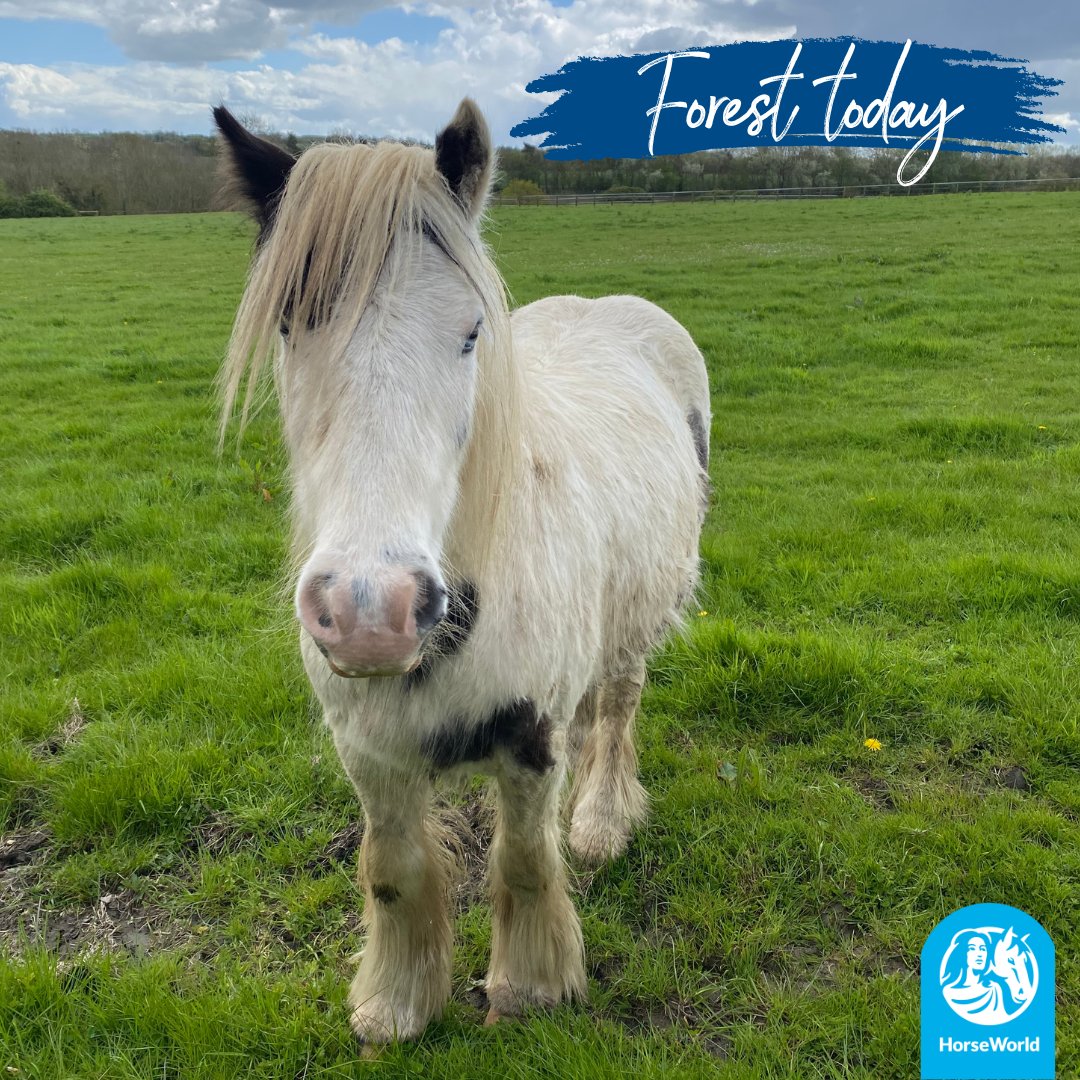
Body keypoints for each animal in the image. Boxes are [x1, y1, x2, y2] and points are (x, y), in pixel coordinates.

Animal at [214, 97, 712, 1041]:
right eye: (290, 326)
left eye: (471, 333)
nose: (370, 614)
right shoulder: (368, 750)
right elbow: (394, 870)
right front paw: (397, 1003)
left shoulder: (528, 739)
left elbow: (523, 860)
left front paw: (531, 987)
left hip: (635, 617)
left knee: (617, 706)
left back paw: (601, 822)